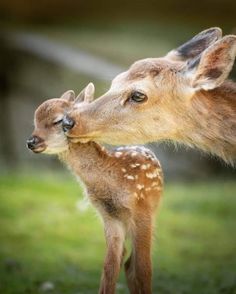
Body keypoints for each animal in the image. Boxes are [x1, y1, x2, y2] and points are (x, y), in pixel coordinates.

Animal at [25, 84, 162, 292]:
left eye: (58, 121)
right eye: (35, 121)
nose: (31, 142)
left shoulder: (142, 210)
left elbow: (144, 269)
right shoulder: (109, 216)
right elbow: (109, 266)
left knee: (136, 264)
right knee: (126, 260)